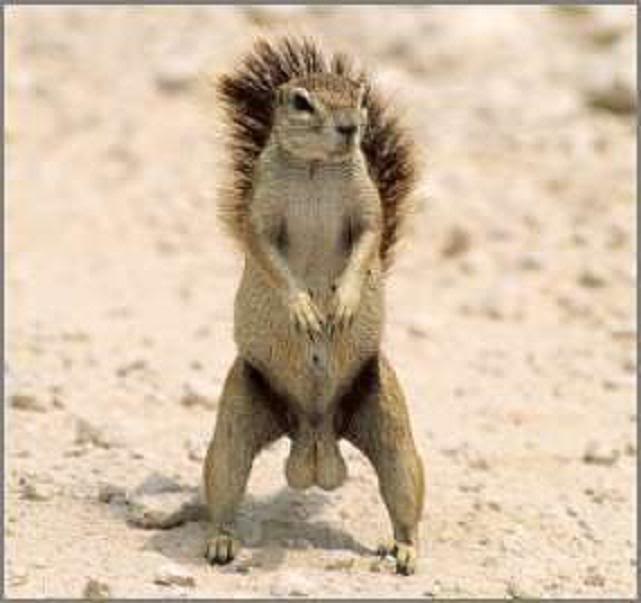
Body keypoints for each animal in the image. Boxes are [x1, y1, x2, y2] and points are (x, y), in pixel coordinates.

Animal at [203, 36, 425, 575]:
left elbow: (368, 241)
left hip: (387, 417)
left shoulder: (367, 206)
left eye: (359, 95)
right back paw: (220, 541)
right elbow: (267, 252)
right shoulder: (260, 214)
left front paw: (342, 302)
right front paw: (303, 308)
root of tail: (315, 431)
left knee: (403, 491)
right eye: (302, 102)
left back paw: (404, 549)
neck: (315, 168)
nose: (350, 127)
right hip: (238, 413)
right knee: (224, 481)